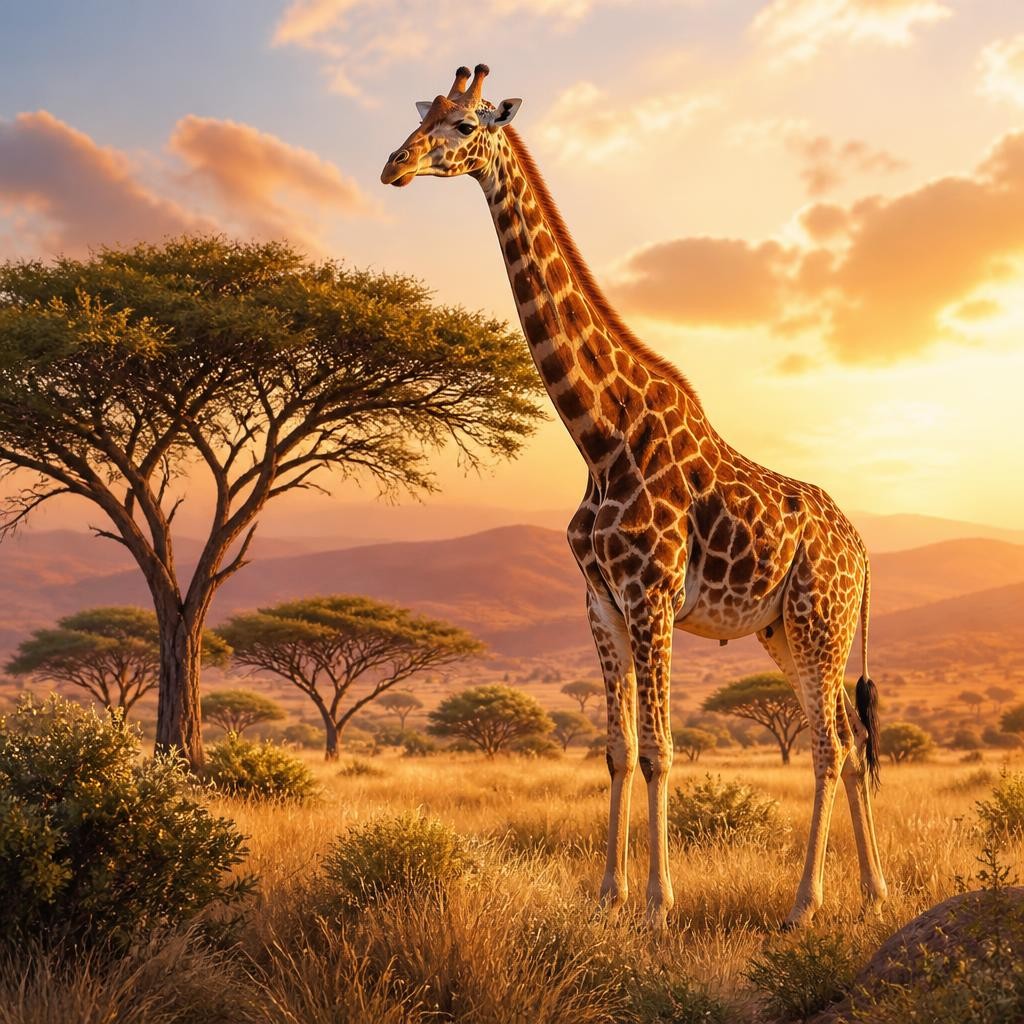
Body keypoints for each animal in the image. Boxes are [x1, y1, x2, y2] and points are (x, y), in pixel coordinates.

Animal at [381, 64, 887, 930]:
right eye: (424, 116)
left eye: (465, 126)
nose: (394, 165)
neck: (599, 433)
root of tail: (860, 548)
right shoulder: (601, 602)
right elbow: (616, 751)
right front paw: (608, 895)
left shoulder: (652, 595)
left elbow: (658, 750)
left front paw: (659, 903)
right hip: (785, 631)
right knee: (851, 746)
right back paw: (875, 893)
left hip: (821, 619)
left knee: (828, 747)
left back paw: (805, 905)